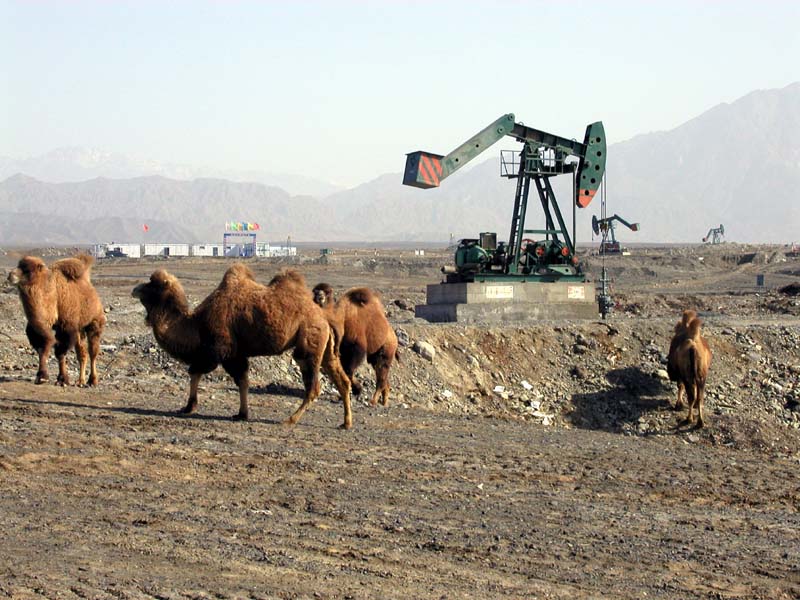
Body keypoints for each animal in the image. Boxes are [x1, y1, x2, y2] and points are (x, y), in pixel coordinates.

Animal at [7, 254, 106, 386]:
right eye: (19, 265)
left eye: (27, 270)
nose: (10, 275)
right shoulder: (42, 326)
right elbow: (42, 347)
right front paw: (43, 377)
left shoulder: (66, 327)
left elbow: (60, 352)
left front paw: (61, 379)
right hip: (79, 329)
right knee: (82, 352)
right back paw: (80, 381)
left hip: (94, 322)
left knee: (93, 351)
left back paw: (92, 381)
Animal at [133, 266, 352, 426]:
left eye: (153, 285)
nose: (134, 289)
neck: (196, 323)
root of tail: (324, 318)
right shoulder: (236, 354)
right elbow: (243, 381)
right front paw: (241, 413)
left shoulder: (220, 349)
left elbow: (196, 371)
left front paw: (189, 407)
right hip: (326, 349)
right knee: (342, 380)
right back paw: (346, 423)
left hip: (309, 343)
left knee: (314, 385)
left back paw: (290, 420)